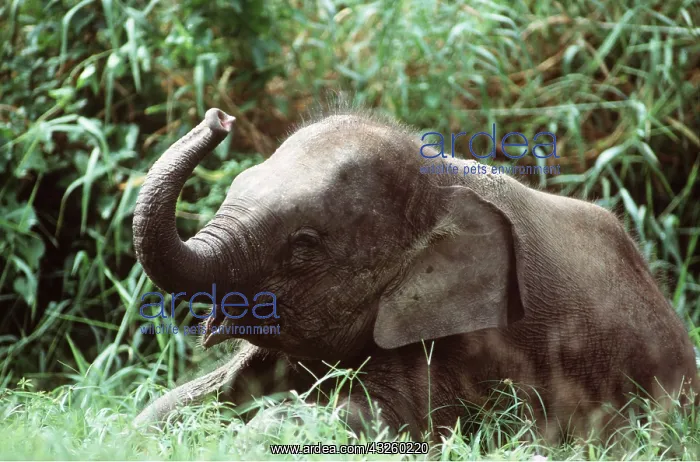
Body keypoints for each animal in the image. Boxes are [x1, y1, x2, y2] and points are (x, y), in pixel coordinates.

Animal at [131, 107, 698, 442]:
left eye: (305, 243)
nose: (219, 118)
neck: (440, 184)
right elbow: (183, 399)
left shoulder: (466, 343)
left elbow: (383, 417)